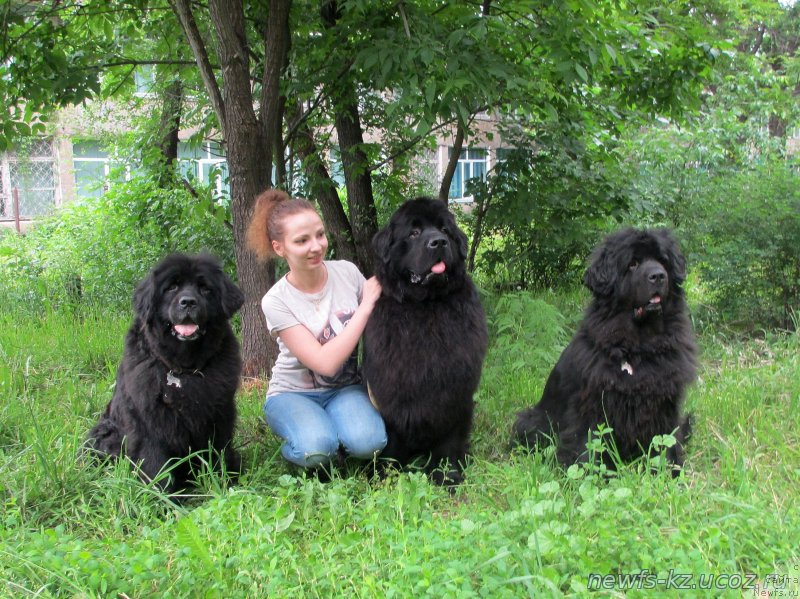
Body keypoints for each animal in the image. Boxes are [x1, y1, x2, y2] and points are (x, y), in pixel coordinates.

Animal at [86, 253, 244, 492]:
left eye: (205, 288)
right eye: (171, 287)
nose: (188, 302)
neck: (183, 369)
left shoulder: (219, 413)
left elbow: (217, 451)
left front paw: (222, 482)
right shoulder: (147, 420)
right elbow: (155, 461)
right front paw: (161, 495)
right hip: (105, 433)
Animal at [364, 198, 488, 488]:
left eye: (444, 229)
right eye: (414, 232)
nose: (439, 242)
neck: (425, 307)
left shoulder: (455, 392)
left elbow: (449, 441)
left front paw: (447, 475)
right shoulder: (391, 394)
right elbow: (391, 441)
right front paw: (385, 476)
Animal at [516, 227, 696, 476]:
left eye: (662, 261)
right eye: (632, 264)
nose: (658, 276)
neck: (640, 345)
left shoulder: (666, 404)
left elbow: (665, 442)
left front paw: (668, 473)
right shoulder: (593, 405)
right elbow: (588, 441)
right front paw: (585, 474)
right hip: (532, 421)